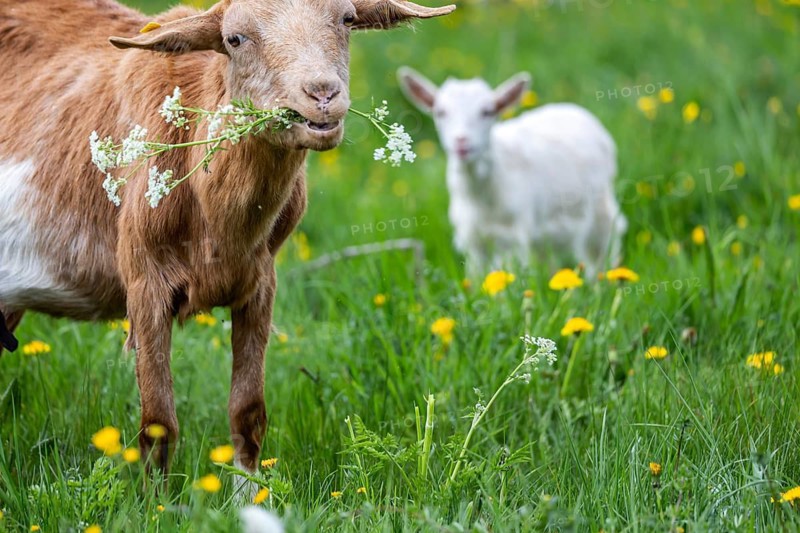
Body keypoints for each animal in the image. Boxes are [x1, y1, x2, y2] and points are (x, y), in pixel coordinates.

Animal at [0, 0, 454, 487]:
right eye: (235, 39)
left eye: (347, 19)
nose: (322, 93)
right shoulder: (144, 280)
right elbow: (157, 423)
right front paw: (157, 501)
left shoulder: (259, 282)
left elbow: (248, 413)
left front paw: (249, 493)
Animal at [397, 67, 627, 278]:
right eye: (440, 112)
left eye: (487, 111)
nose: (461, 142)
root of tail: (572, 109)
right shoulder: (473, 239)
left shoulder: (514, 236)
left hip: (601, 210)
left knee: (603, 252)